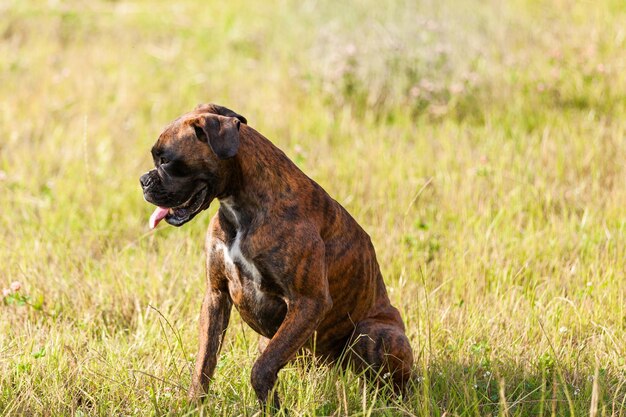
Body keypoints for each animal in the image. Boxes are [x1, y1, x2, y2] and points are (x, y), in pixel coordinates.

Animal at [140, 104, 412, 410]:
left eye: (165, 160)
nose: (143, 181)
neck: (240, 207)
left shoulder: (309, 302)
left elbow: (262, 368)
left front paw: (272, 407)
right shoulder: (216, 296)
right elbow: (203, 363)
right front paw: (194, 405)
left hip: (373, 333)